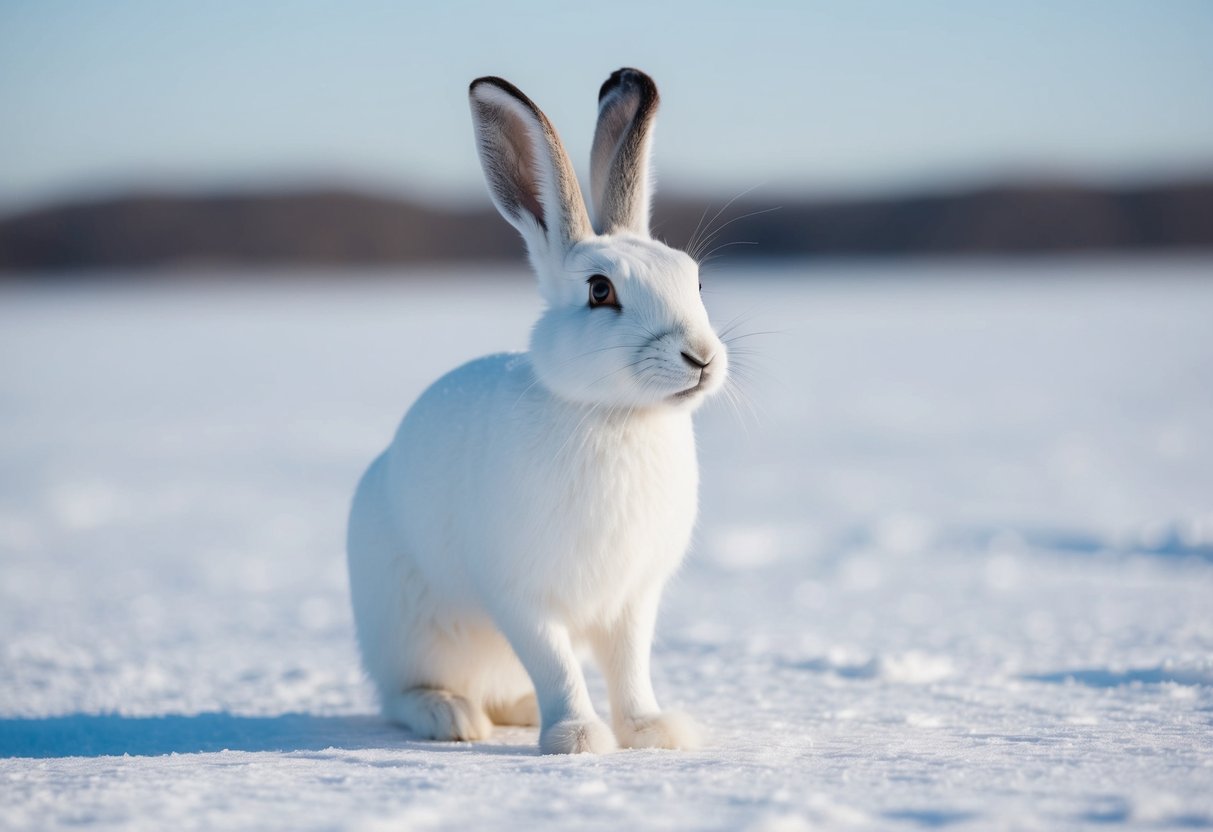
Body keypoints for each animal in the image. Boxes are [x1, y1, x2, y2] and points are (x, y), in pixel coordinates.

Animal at [346, 67, 728, 755]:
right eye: (600, 291)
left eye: (696, 280)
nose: (702, 357)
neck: (613, 415)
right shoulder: (522, 595)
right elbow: (557, 664)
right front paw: (577, 739)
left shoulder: (634, 597)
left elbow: (630, 666)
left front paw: (654, 731)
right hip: (411, 628)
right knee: (406, 690)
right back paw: (451, 717)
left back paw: (519, 712)